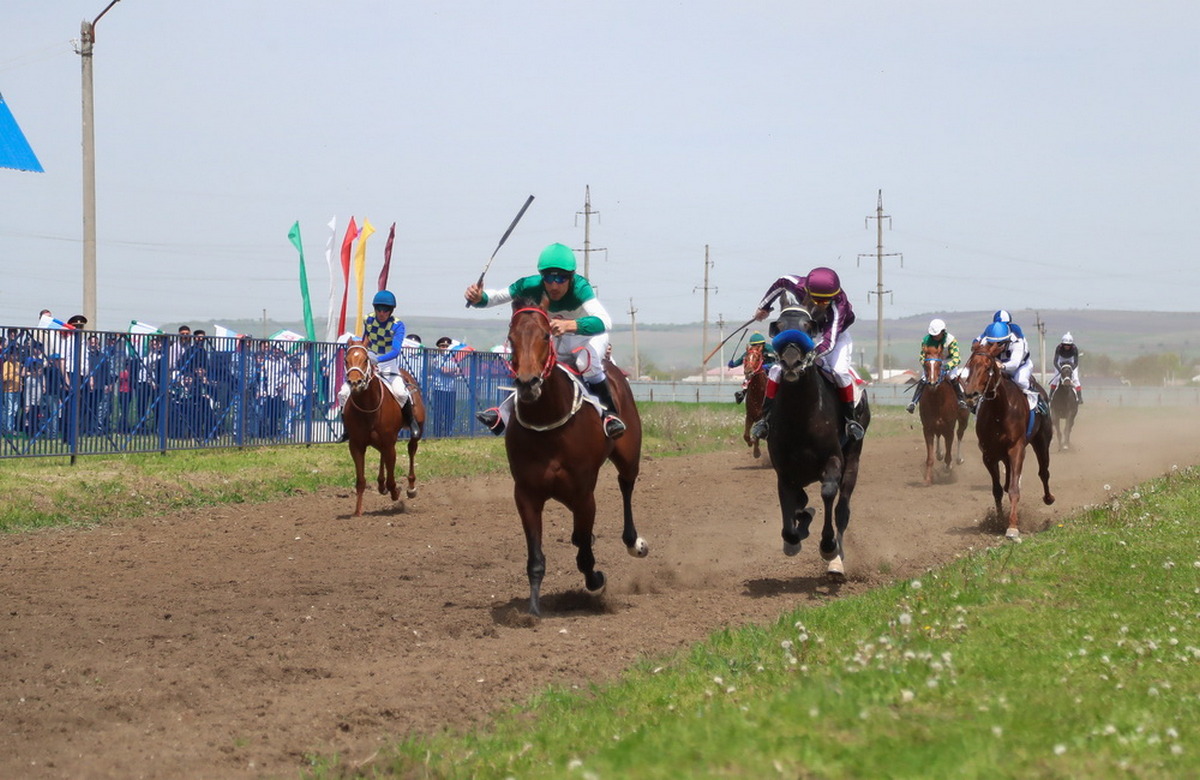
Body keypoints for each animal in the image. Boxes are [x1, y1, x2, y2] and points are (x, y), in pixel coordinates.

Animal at [340, 340, 424, 516]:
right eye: (346, 360)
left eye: (366, 359)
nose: (355, 382)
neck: (369, 407)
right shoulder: (356, 445)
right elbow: (361, 480)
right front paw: (357, 512)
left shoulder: (389, 442)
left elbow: (392, 478)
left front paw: (395, 491)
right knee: (382, 455)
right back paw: (380, 484)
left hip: (417, 429)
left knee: (411, 449)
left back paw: (411, 487)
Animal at [501, 302, 648, 614]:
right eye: (511, 338)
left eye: (546, 335)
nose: (528, 383)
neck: (548, 423)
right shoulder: (526, 494)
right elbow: (536, 558)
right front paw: (532, 611)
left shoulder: (583, 493)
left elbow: (584, 547)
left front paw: (595, 578)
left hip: (629, 456)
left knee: (626, 485)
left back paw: (634, 542)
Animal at [768, 307, 873, 580]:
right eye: (779, 326)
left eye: (807, 327)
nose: (791, 361)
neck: (801, 416)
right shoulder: (784, 470)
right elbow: (791, 505)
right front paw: (794, 538)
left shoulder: (832, 459)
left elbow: (827, 493)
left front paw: (828, 547)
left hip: (853, 458)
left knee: (842, 509)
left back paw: (837, 561)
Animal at [921, 343, 969, 482]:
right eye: (926, 364)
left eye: (939, 364)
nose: (932, 383)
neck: (937, 399)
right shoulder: (927, 428)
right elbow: (930, 457)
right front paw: (928, 478)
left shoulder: (949, 428)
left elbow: (949, 452)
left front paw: (948, 466)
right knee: (938, 435)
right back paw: (939, 453)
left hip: (964, 419)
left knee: (960, 434)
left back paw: (958, 459)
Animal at [960, 343, 1056, 537]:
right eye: (970, 366)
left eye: (987, 367)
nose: (970, 394)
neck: (1000, 410)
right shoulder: (988, 455)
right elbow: (997, 490)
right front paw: (998, 521)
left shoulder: (1017, 448)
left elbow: (1014, 489)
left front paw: (1012, 526)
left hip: (1042, 441)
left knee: (1044, 471)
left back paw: (1049, 497)